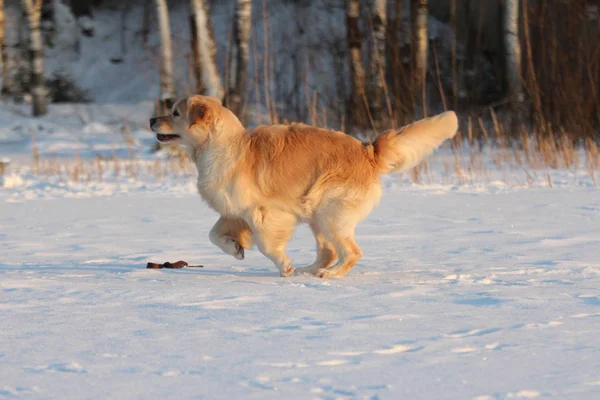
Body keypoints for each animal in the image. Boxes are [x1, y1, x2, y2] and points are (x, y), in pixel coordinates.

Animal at [151, 96, 460, 278]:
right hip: (316, 215)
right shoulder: (233, 211)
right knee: (328, 252)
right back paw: (308, 270)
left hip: (329, 213)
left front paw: (283, 266)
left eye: (175, 113)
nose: (152, 119)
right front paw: (235, 248)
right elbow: (213, 235)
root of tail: (367, 151)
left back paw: (328, 274)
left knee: (350, 252)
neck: (222, 145)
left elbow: (267, 245)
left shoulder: (264, 212)